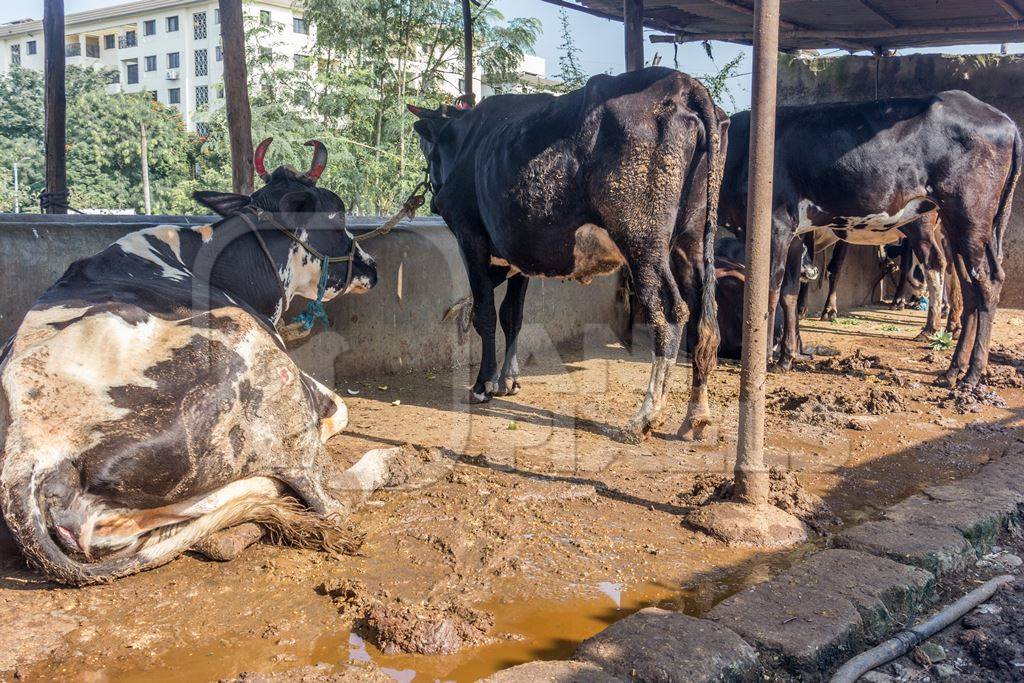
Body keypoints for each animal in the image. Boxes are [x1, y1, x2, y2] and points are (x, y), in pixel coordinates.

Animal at [1, 140, 387, 589]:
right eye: (337, 213)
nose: (371, 267)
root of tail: (26, 450)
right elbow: (338, 408)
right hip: (250, 353)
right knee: (330, 495)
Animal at [724, 91, 1019, 387]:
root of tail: (1005, 120)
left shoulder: (775, 224)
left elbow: (768, 290)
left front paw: (763, 357)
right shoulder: (795, 235)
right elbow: (790, 293)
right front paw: (786, 357)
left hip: (967, 216)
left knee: (985, 282)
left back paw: (971, 372)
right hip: (956, 225)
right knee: (969, 286)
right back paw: (952, 369)